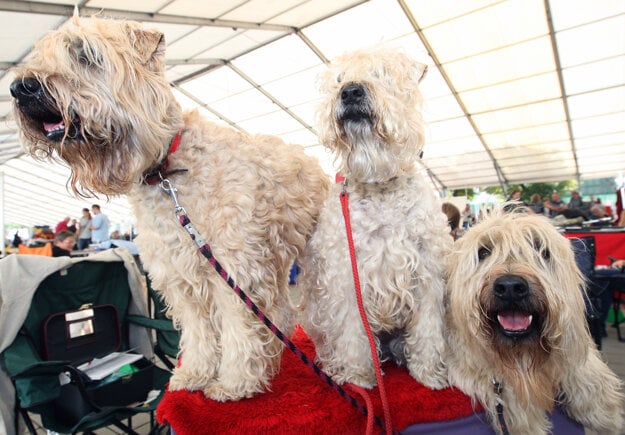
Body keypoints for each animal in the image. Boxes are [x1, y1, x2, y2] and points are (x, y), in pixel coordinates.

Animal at [11, 15, 332, 404]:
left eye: (86, 55)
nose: (20, 87)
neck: (166, 170)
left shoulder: (232, 269)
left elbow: (238, 329)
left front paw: (234, 383)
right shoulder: (180, 275)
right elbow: (198, 333)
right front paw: (194, 373)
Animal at [296, 48, 448, 392]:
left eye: (383, 73)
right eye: (339, 78)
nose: (351, 91)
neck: (380, 186)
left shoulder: (428, 273)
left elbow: (428, 329)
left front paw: (429, 373)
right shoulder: (346, 274)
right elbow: (352, 333)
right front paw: (358, 377)